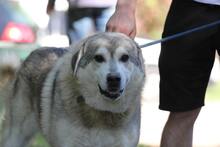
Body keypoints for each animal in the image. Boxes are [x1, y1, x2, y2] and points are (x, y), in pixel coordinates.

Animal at [0, 32, 145, 147]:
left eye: (125, 57)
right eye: (98, 58)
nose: (114, 78)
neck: (103, 113)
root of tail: (30, 55)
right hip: (16, 134)